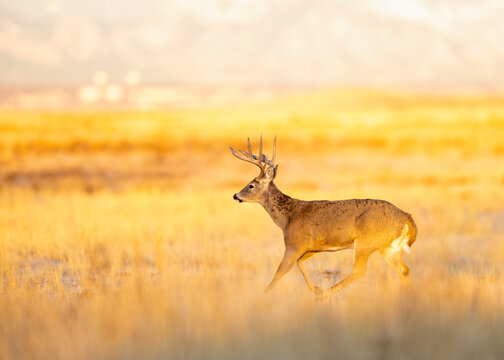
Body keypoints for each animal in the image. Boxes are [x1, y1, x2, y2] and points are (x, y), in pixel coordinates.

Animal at [230, 136, 416, 296]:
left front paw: (262, 296)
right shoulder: (314, 247)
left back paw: (325, 295)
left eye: (251, 185)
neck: (288, 218)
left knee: (360, 270)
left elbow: (279, 272)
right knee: (404, 270)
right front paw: (316, 288)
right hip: (388, 247)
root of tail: (407, 217)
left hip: (366, 242)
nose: (235, 195)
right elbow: (300, 263)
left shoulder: (294, 244)